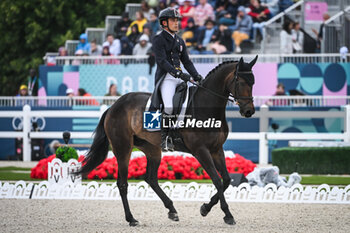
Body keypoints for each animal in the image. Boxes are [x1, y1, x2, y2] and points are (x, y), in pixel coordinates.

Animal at [78, 56, 258, 226]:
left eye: (253, 82)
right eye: (240, 82)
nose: (248, 111)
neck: (207, 106)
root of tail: (113, 106)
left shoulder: (216, 149)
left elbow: (226, 180)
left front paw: (206, 208)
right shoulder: (201, 151)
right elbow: (217, 181)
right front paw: (226, 215)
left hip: (152, 149)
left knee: (151, 178)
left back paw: (172, 210)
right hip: (123, 149)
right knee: (123, 183)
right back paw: (131, 219)